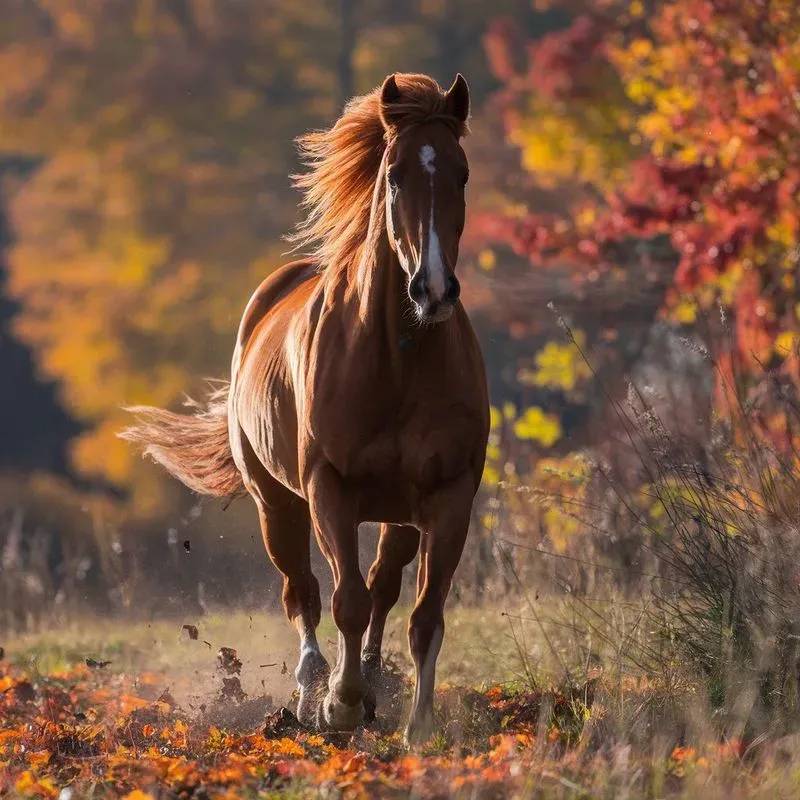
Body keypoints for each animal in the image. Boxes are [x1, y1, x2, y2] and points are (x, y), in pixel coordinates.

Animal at [122, 72, 489, 743]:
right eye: (394, 174)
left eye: (462, 173)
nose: (433, 289)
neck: (397, 359)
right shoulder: (328, 487)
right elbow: (344, 599)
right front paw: (337, 705)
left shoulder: (449, 495)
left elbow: (424, 615)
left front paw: (417, 724)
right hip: (278, 505)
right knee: (305, 593)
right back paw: (311, 688)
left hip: (399, 516)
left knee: (383, 588)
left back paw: (371, 682)